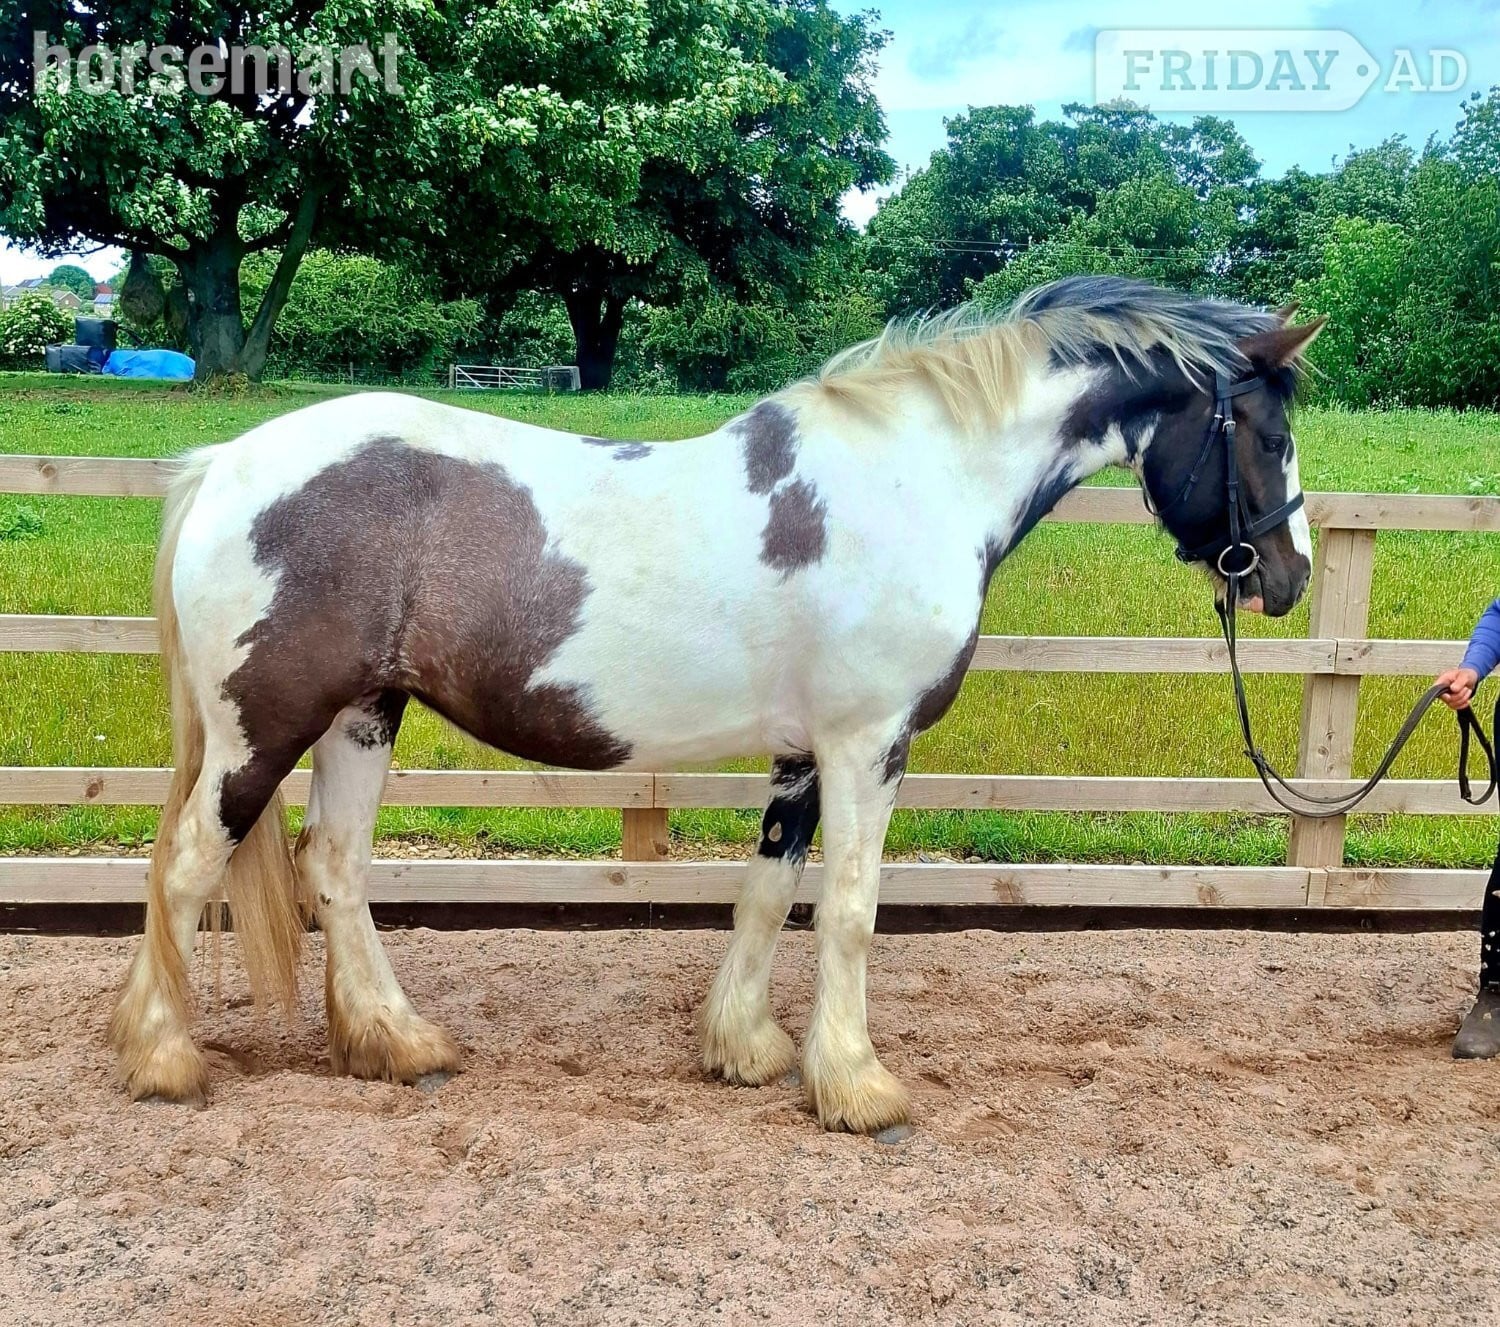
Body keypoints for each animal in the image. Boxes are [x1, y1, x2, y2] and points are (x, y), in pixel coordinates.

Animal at [109, 275, 1322, 1133]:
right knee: (187, 867)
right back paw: (163, 1058)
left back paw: (399, 1044)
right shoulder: (868, 744)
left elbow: (769, 892)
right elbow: (849, 909)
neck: (915, 479)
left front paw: (746, 1049)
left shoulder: (807, 754)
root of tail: (225, 465)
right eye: (1269, 435)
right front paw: (859, 1087)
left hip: (366, 713)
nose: (1287, 576)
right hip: (260, 731)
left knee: (336, 868)